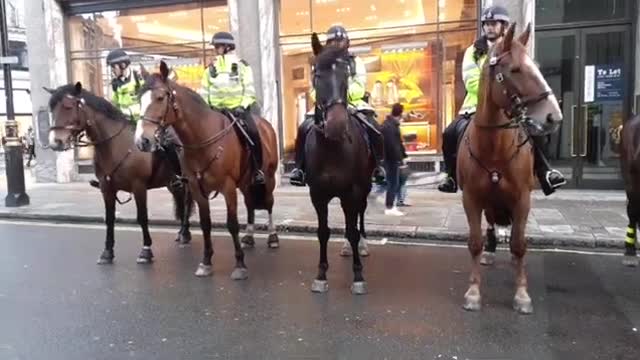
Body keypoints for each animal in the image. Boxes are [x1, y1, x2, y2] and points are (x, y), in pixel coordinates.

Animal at [47, 83, 192, 266]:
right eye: (51, 109)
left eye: (68, 106)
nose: (55, 142)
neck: (117, 145)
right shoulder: (106, 188)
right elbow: (109, 219)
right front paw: (107, 252)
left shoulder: (139, 187)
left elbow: (142, 217)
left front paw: (146, 250)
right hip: (171, 182)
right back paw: (182, 233)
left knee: (186, 202)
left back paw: (185, 233)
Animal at [136, 62, 278, 280]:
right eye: (138, 98)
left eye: (160, 98)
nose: (142, 141)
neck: (202, 139)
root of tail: (266, 125)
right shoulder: (197, 188)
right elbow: (205, 224)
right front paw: (206, 262)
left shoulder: (228, 187)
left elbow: (232, 224)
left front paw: (240, 264)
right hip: (246, 182)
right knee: (250, 204)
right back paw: (249, 236)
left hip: (268, 178)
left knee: (268, 203)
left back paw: (272, 236)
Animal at [458, 23, 564, 314]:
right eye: (515, 70)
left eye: (536, 66)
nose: (554, 117)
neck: (494, 147)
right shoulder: (471, 198)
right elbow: (475, 243)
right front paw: (473, 292)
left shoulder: (522, 199)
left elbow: (518, 245)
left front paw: (522, 294)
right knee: (491, 225)